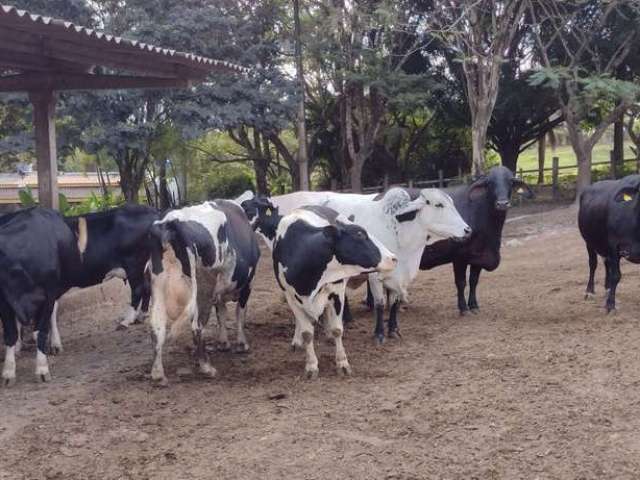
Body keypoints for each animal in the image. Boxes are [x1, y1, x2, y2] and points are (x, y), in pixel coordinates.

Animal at [0, 207, 81, 386]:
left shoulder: (49, 294)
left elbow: (41, 330)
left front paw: (42, 369)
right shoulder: (5, 302)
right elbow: (10, 334)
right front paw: (8, 372)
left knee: (53, 314)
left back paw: (55, 344)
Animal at [148, 200, 260, 386]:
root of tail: (170, 222)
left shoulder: (219, 293)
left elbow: (222, 314)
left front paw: (223, 343)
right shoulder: (247, 286)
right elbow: (239, 314)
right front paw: (241, 344)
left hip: (159, 289)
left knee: (157, 329)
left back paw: (158, 373)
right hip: (201, 289)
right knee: (197, 325)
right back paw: (206, 367)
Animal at [254, 202, 396, 378]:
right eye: (360, 234)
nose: (393, 258)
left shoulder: (337, 293)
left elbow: (337, 329)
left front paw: (342, 362)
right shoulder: (291, 297)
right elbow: (307, 333)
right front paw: (311, 366)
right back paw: (296, 341)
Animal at [420, 165, 536, 316]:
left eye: (510, 182)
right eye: (490, 183)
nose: (502, 204)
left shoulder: (479, 255)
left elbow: (473, 281)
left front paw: (474, 305)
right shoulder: (459, 256)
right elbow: (461, 282)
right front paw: (463, 308)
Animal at [576, 174, 640, 314]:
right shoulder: (614, 245)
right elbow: (616, 275)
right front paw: (610, 305)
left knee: (606, 263)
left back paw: (608, 289)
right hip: (589, 242)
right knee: (593, 264)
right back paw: (590, 291)